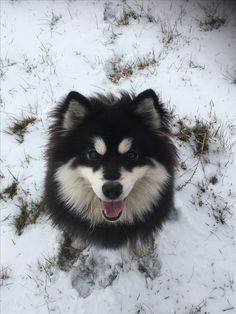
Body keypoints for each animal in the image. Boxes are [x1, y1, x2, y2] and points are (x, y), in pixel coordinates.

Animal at [44, 89, 177, 256]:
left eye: (132, 155)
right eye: (93, 154)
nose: (112, 190)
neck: (111, 222)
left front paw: (142, 249)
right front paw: (78, 244)